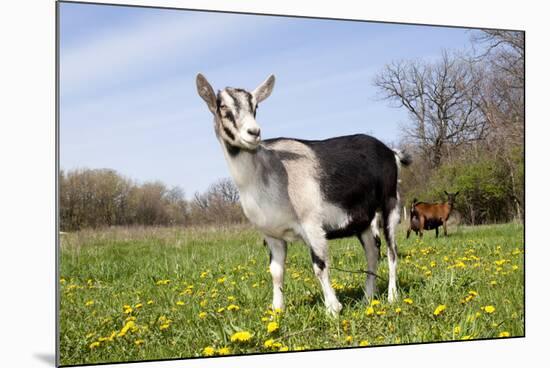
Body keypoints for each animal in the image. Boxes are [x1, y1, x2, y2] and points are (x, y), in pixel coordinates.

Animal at [196, 73, 412, 314]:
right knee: (373, 254)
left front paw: (333, 309)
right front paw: (277, 310)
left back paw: (392, 296)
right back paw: (368, 298)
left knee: (392, 252)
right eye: (222, 107)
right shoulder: (272, 235)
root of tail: (391, 152)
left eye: (255, 106)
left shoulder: (312, 225)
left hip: (390, 204)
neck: (268, 172)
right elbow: (276, 271)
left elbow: (320, 266)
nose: (253, 132)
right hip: (364, 221)